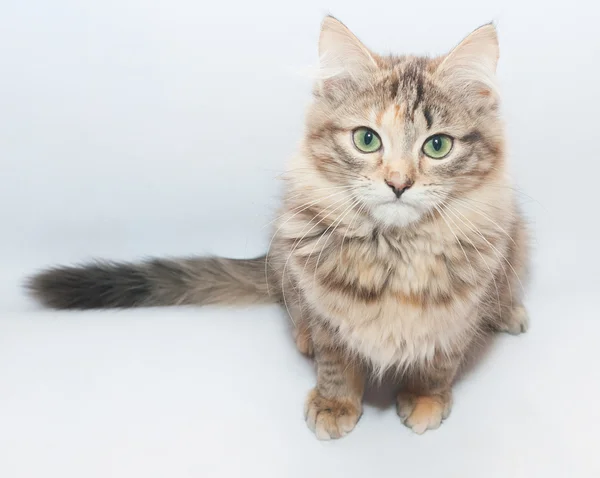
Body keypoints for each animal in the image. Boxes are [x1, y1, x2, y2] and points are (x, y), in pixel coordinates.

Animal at [27, 14, 528, 440]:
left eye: (437, 146)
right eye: (367, 139)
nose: (399, 183)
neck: (394, 250)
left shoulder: (459, 315)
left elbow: (439, 361)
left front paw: (425, 398)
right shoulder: (325, 309)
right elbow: (336, 364)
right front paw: (335, 405)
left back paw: (509, 313)